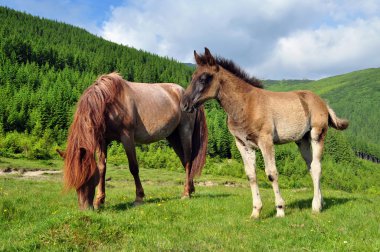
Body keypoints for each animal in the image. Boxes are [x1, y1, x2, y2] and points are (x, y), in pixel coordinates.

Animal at [64, 72, 208, 209]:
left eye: (87, 176)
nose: (85, 208)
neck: (109, 102)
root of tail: (186, 94)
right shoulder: (102, 140)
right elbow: (102, 168)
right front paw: (99, 201)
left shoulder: (127, 137)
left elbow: (133, 167)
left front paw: (139, 198)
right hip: (173, 137)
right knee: (184, 161)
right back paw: (191, 189)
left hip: (185, 132)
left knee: (188, 161)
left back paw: (186, 193)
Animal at [181, 48, 348, 218]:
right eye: (193, 77)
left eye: (204, 78)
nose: (184, 104)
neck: (245, 104)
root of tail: (323, 103)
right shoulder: (242, 143)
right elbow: (251, 175)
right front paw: (256, 211)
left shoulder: (265, 140)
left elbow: (271, 173)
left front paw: (280, 210)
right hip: (302, 141)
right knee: (311, 167)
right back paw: (321, 202)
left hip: (317, 135)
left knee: (317, 166)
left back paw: (316, 206)